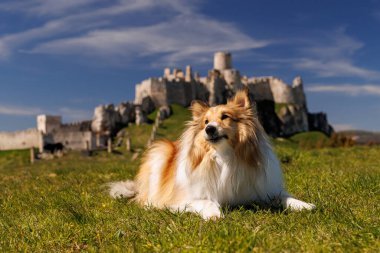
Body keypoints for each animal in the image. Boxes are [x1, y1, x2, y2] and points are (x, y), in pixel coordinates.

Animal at [109, 89, 314, 219]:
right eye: (206, 121)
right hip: (159, 154)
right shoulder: (186, 197)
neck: (224, 157)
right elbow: (207, 202)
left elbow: (284, 197)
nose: (209, 129)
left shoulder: (262, 190)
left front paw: (305, 205)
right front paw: (215, 215)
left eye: (225, 117)